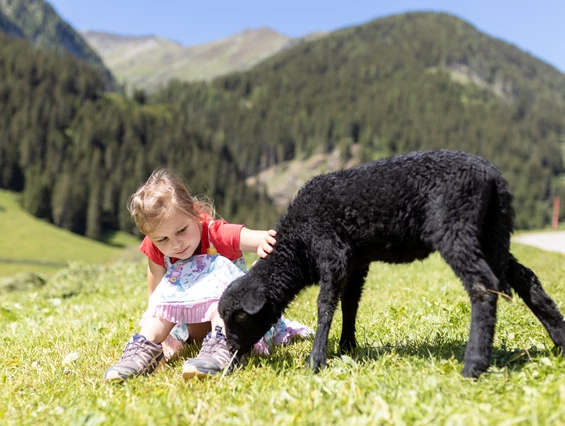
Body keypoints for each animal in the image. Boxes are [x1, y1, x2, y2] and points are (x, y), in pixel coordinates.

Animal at [217, 149, 564, 376]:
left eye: (240, 317)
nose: (231, 352)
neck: (297, 245)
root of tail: (492, 177)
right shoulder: (356, 261)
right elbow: (350, 303)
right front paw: (346, 347)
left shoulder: (333, 252)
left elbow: (325, 304)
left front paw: (317, 360)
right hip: (492, 232)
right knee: (525, 278)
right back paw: (559, 339)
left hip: (456, 226)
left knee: (484, 284)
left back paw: (473, 366)